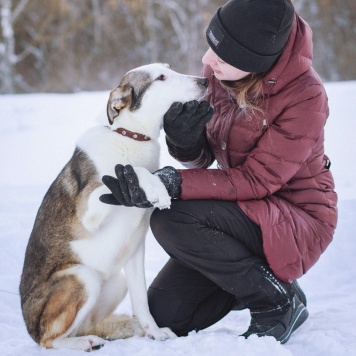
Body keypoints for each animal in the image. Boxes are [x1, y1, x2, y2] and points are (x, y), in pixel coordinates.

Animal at [19, 63, 209, 350]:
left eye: (169, 68)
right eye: (161, 77)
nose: (205, 81)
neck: (130, 137)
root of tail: (29, 328)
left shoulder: (134, 251)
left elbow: (142, 302)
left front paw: (155, 333)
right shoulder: (89, 208)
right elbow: (132, 172)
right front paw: (153, 186)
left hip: (116, 280)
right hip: (81, 276)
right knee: (49, 340)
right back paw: (83, 343)